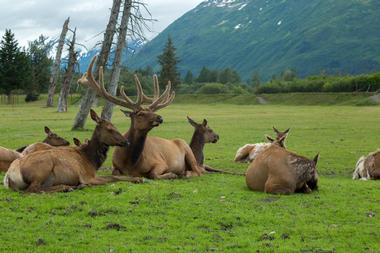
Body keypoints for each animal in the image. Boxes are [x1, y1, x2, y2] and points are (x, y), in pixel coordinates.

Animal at [4, 109, 142, 193]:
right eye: (109, 128)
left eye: (115, 126)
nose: (126, 142)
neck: (91, 161)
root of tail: (9, 176)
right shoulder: (87, 176)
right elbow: (113, 178)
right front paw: (138, 179)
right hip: (42, 168)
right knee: (32, 190)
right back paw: (68, 187)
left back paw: (71, 187)